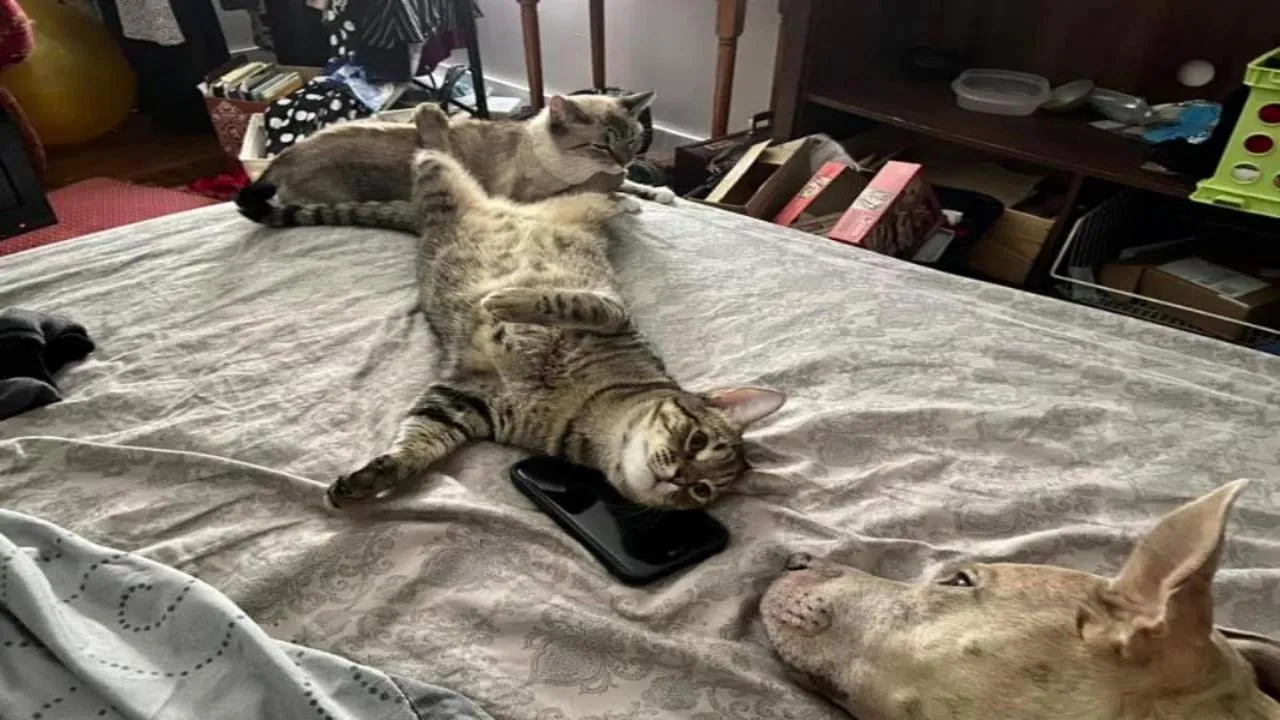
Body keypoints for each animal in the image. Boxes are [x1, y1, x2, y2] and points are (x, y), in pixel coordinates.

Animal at [238, 93, 676, 233]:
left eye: (633, 140)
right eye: (601, 147)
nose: (626, 160)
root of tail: (281, 157)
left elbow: (634, 186)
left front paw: (659, 192)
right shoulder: (525, 196)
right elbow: (594, 191)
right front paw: (626, 200)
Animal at [325, 149, 785, 510]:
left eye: (701, 491)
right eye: (697, 442)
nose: (677, 480)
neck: (583, 407)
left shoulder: (466, 401)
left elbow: (421, 439)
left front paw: (377, 476)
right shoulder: (615, 317)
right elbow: (573, 302)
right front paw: (507, 301)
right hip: (450, 180)